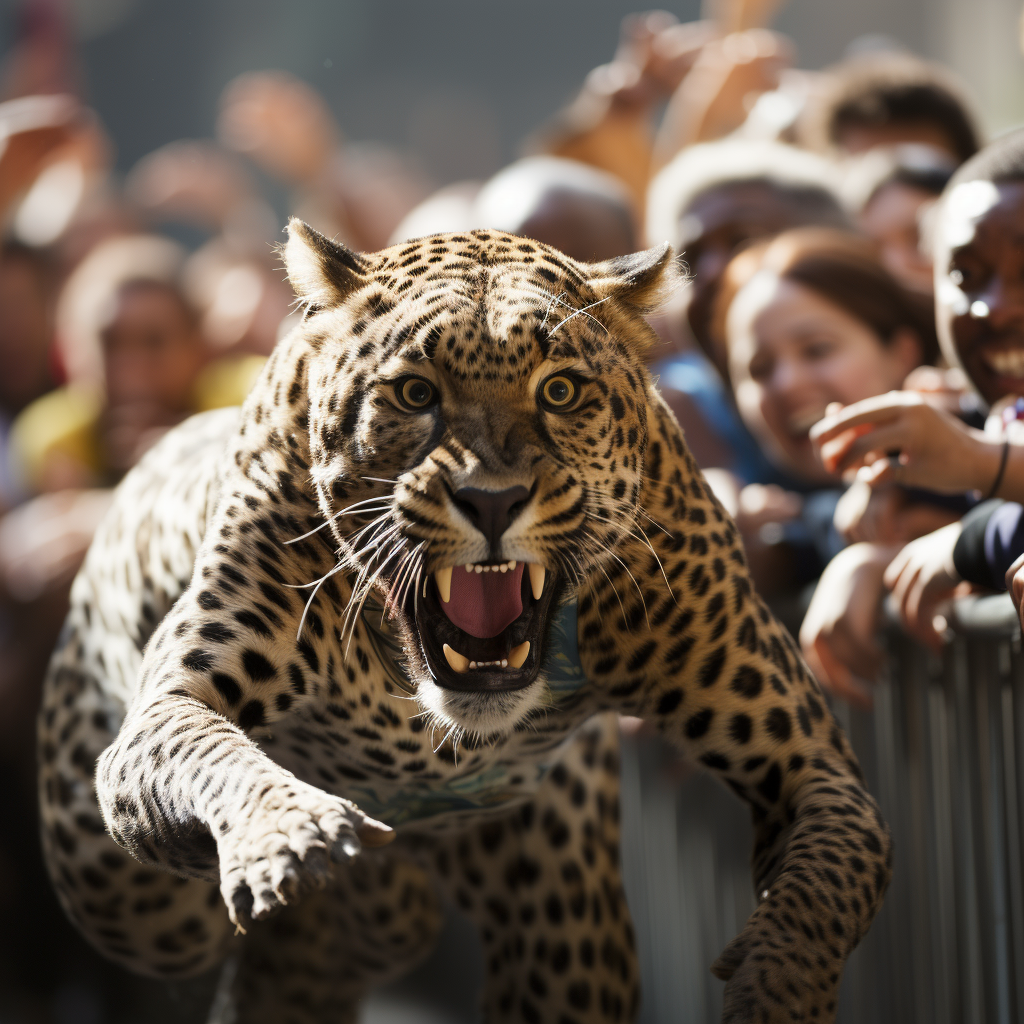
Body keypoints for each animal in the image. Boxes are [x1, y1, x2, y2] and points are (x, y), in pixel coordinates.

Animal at [36, 220, 892, 1019]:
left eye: (560, 391)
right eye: (416, 394)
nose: (492, 500)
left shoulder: (807, 759)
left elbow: (826, 882)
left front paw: (779, 987)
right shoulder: (169, 706)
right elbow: (213, 752)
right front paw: (292, 836)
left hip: (566, 917)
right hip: (127, 897)